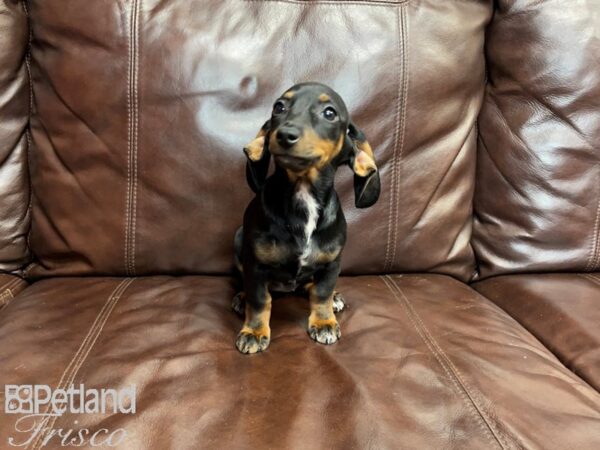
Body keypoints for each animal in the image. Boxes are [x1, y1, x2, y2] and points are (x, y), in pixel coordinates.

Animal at [233, 81, 380, 356]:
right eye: (279, 107)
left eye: (330, 113)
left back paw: (334, 299)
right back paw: (241, 298)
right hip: (239, 240)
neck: (303, 194)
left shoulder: (332, 263)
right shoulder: (255, 265)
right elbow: (260, 300)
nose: (284, 135)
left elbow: (321, 294)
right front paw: (254, 331)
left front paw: (323, 322)